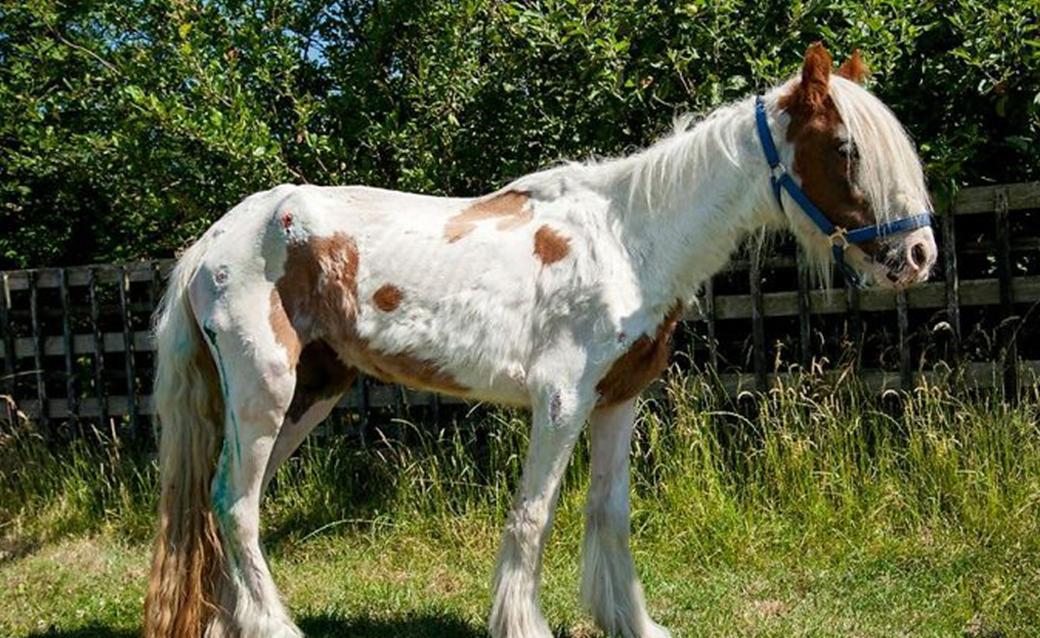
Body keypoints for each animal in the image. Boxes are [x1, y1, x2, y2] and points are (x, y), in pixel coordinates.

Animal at [144, 44, 935, 636]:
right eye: (845, 149)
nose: (919, 255)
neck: (629, 239)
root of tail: (215, 239)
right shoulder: (561, 402)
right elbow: (533, 517)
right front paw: (524, 625)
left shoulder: (620, 401)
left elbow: (609, 514)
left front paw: (632, 623)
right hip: (265, 392)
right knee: (236, 506)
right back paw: (275, 628)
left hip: (310, 395)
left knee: (226, 506)